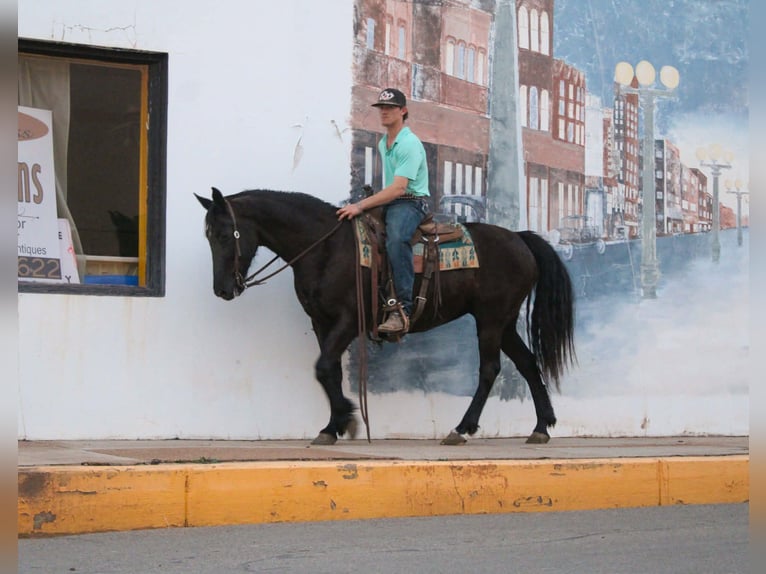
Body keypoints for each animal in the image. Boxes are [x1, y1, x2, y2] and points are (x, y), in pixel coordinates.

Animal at [196, 187, 576, 446]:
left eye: (224, 234)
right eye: (208, 236)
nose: (222, 290)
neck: (326, 248)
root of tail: (521, 240)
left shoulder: (349, 320)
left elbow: (323, 367)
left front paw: (346, 418)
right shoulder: (321, 322)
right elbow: (330, 370)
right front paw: (332, 426)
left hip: (491, 319)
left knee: (489, 369)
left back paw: (461, 428)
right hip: (506, 321)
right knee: (527, 363)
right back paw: (541, 427)